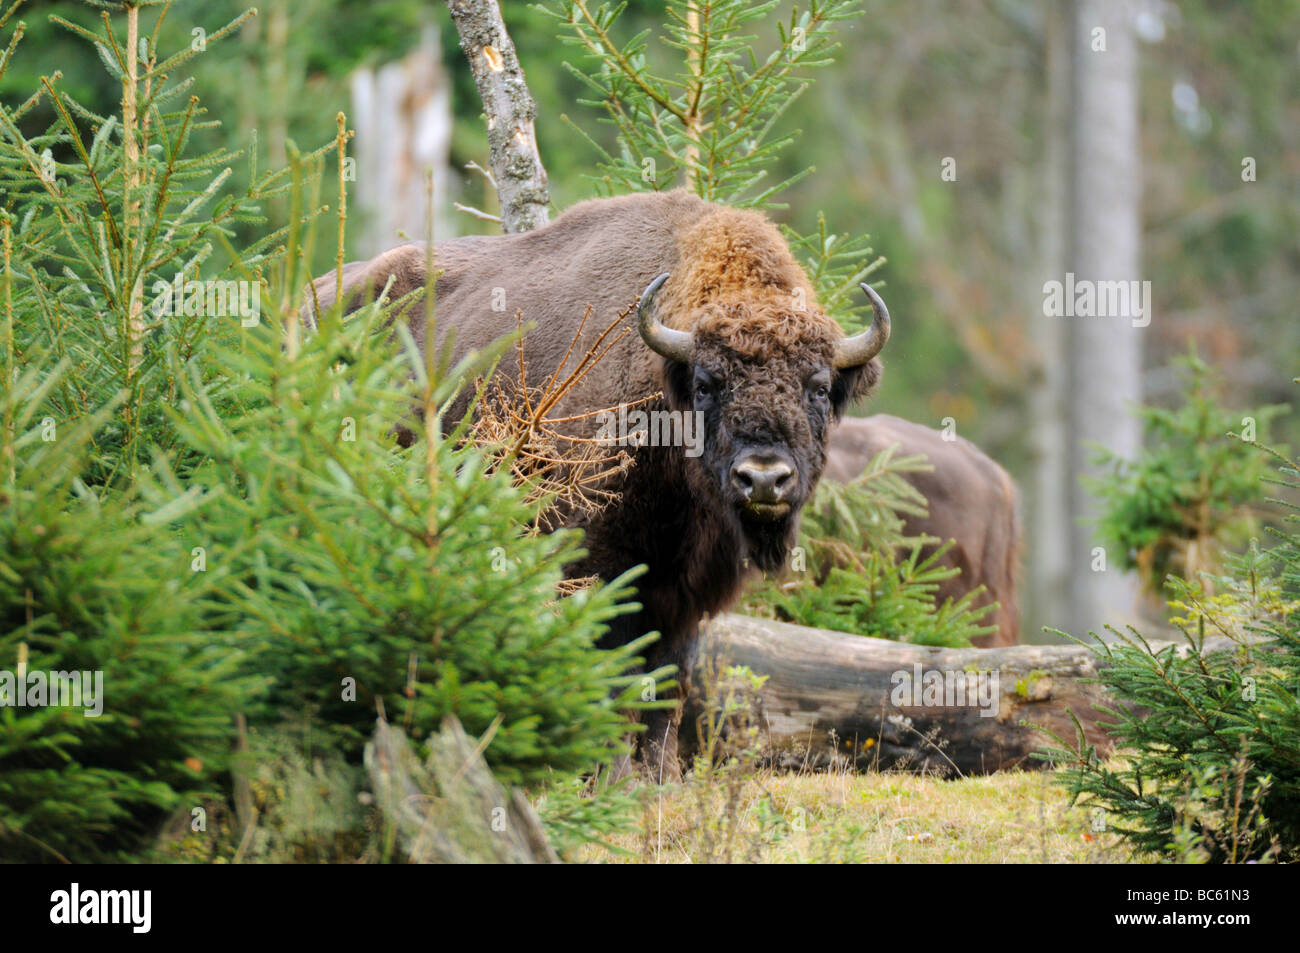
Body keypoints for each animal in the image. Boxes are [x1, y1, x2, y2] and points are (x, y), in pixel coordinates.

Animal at [308, 189, 889, 774]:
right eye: (706, 384)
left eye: (819, 387)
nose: (764, 479)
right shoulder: (596, 566)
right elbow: (611, 673)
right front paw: (609, 772)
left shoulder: (684, 594)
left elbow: (668, 683)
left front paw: (660, 776)